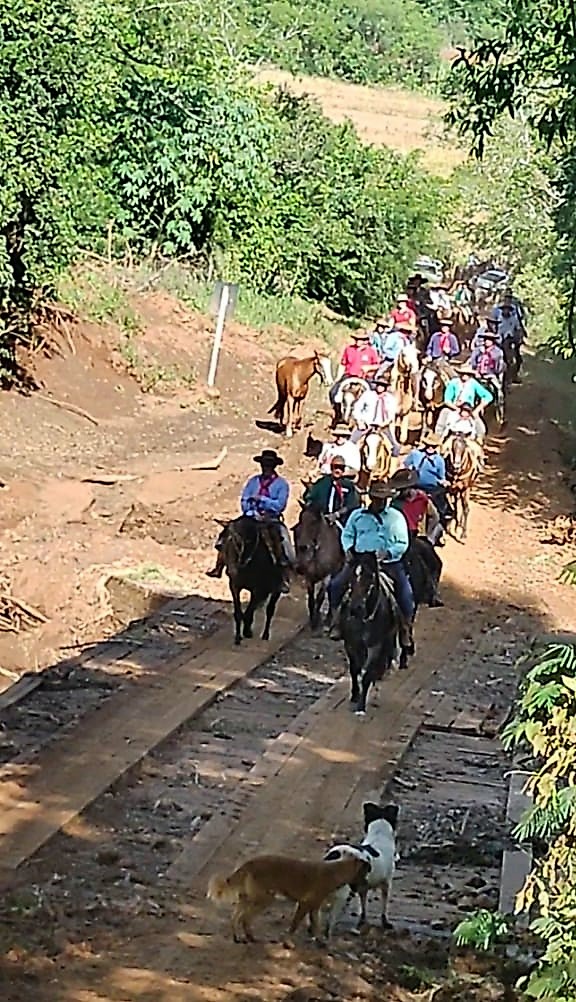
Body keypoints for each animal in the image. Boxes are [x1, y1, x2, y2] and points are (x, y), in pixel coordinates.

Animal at [207, 849, 368, 941]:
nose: (366, 883)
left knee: (235, 917)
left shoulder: (314, 908)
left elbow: (317, 924)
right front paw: (288, 940)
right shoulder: (304, 904)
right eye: (365, 873)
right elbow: (295, 924)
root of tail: (249, 863)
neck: (336, 871)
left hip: (247, 898)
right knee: (245, 919)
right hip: (264, 899)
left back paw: (237, 936)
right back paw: (251, 937)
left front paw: (320, 941)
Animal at [217, 513, 284, 645]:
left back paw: (265, 634)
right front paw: (238, 637)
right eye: (233, 539)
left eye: (250, 540)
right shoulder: (234, 586)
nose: (233, 570)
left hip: (275, 591)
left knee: (270, 610)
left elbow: (249, 611)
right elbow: (239, 612)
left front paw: (247, 631)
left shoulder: (260, 590)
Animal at [322, 801, 398, 933]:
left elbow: (363, 905)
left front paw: (362, 921)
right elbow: (384, 906)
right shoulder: (386, 883)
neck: (379, 836)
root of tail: (335, 854)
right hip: (342, 892)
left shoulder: (363, 887)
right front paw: (385, 922)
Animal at [340, 553, 408, 717]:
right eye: (351, 576)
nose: (355, 608)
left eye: (370, 577)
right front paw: (354, 695)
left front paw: (360, 707)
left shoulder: (375, 646)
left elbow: (367, 675)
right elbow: (354, 670)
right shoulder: (351, 644)